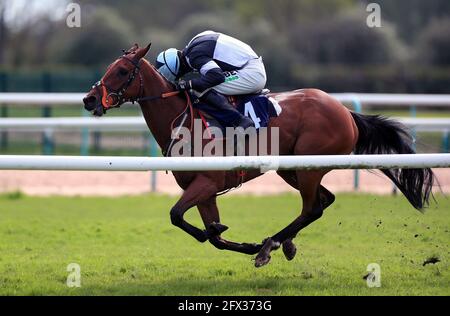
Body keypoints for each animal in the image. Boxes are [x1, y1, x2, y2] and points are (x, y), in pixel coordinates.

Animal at [82, 43, 434, 266]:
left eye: (122, 70)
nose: (89, 99)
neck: (182, 118)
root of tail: (345, 112)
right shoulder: (204, 191)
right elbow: (211, 235)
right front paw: (227, 235)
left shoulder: (207, 182)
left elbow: (177, 216)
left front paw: (247, 243)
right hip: (291, 169)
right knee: (323, 201)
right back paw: (281, 243)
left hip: (307, 167)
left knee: (312, 208)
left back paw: (270, 245)